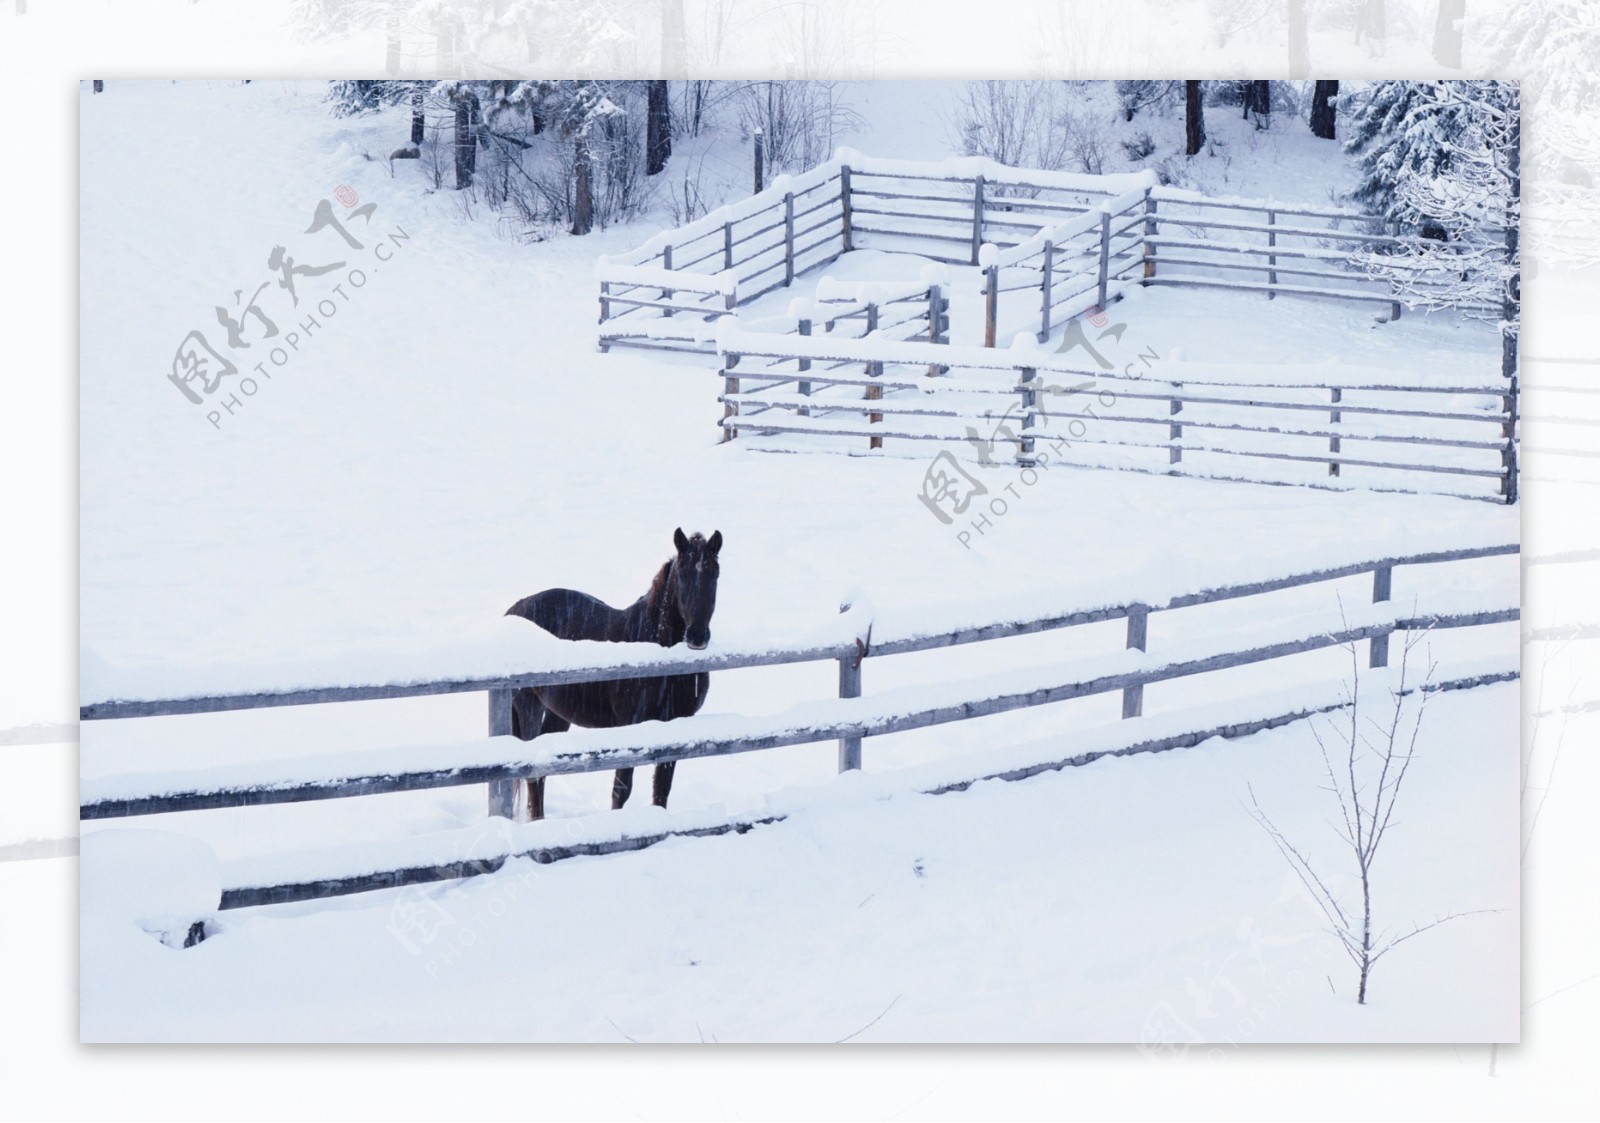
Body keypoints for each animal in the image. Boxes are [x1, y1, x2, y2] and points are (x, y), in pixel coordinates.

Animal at [502, 531, 723, 825]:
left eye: (715, 573)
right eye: (682, 572)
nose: (697, 636)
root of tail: (514, 612)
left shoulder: (675, 728)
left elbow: (662, 789)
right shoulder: (629, 725)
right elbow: (621, 789)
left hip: (558, 714)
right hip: (529, 707)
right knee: (534, 775)